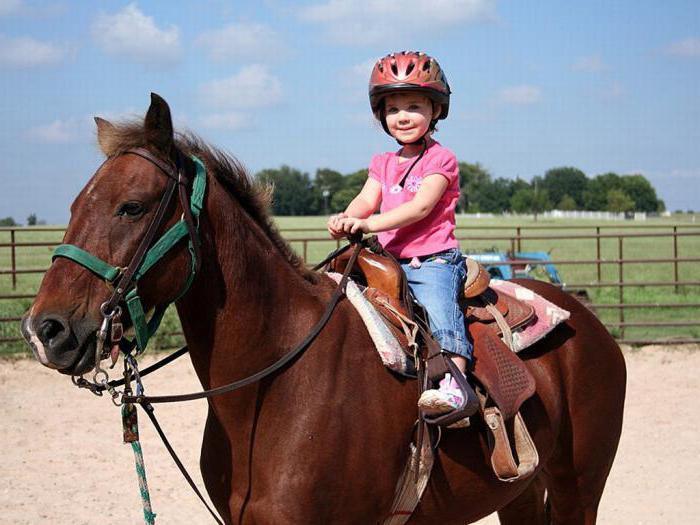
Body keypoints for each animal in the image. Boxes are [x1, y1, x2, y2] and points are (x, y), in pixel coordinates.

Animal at [21, 95, 628, 524]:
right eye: (73, 206)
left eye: (132, 206)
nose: (44, 330)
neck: (278, 379)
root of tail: (588, 322)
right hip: (519, 492)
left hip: (579, 489)